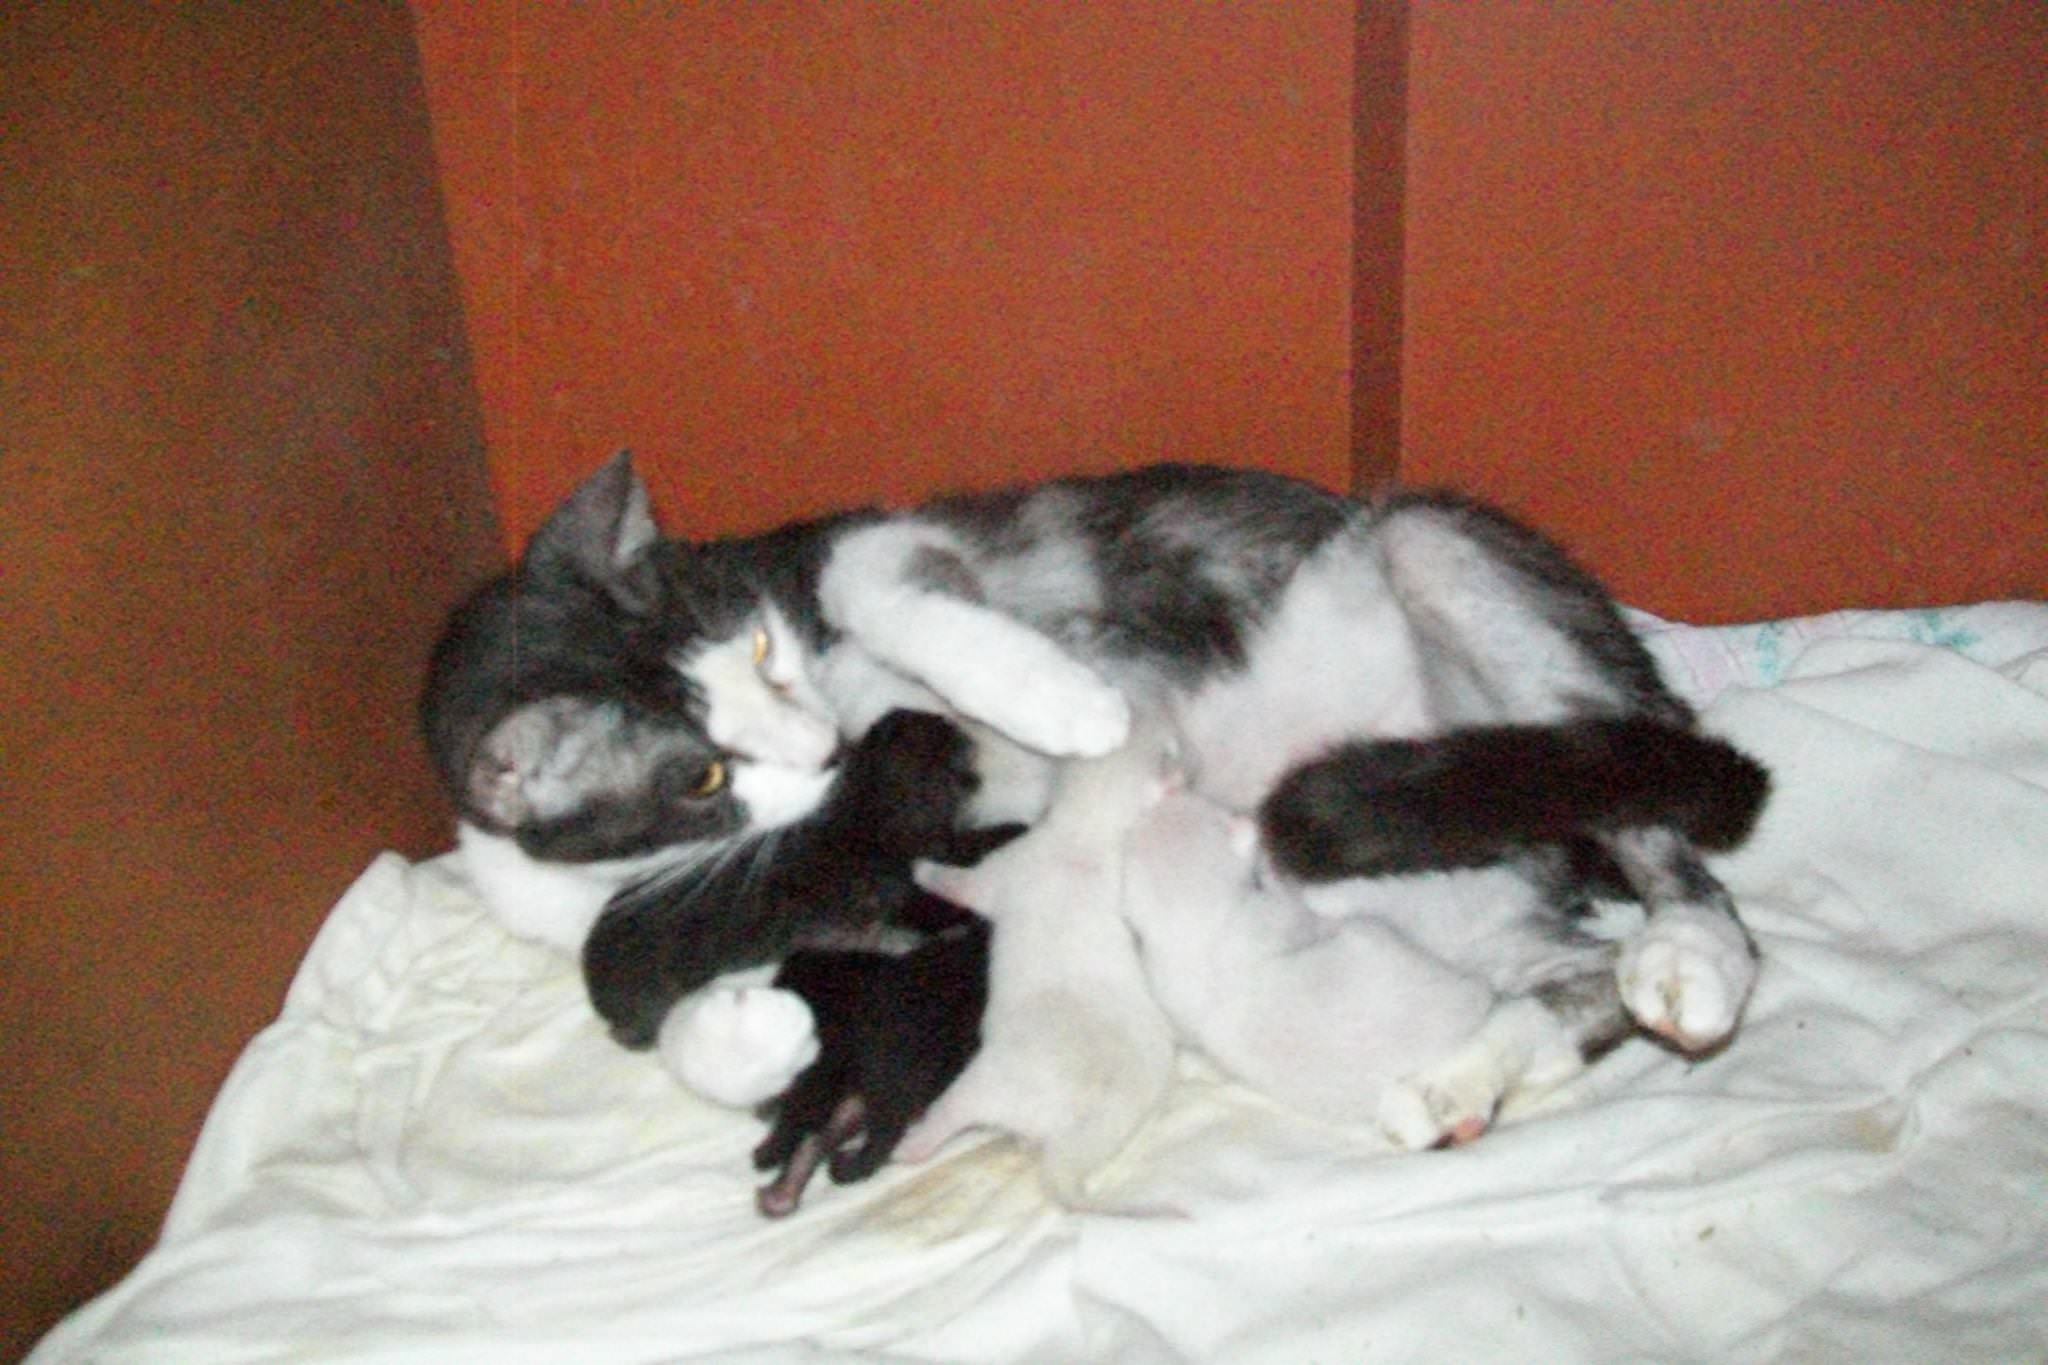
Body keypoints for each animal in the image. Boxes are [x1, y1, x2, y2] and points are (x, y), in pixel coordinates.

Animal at [420, 454, 1769, 1143]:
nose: (815, 741)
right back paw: (1462, 1074)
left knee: (1662, 821)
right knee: (1563, 980)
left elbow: (872, 583)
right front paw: (752, 1037)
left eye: (759, 647)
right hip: (1428, 896)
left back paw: (1688, 957)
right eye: (696, 772)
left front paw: (1058, 700)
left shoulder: (873, 542)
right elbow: (662, 995)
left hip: (1445, 554)